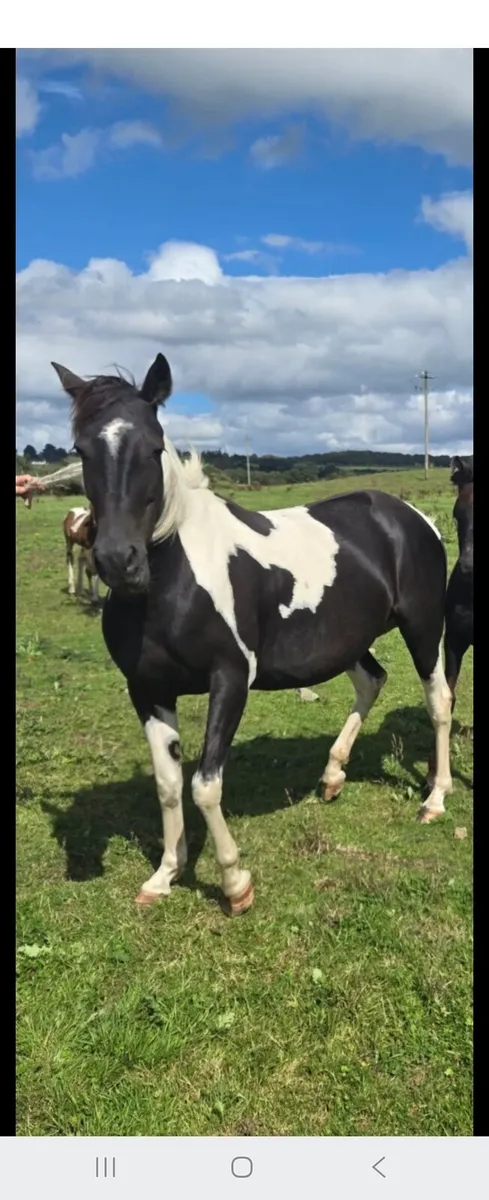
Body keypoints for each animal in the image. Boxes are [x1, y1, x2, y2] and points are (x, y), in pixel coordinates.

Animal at [51, 353, 453, 917]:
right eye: (81, 450)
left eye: (153, 446)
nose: (117, 561)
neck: (172, 582)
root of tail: (413, 518)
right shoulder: (148, 690)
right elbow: (169, 784)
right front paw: (165, 874)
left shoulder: (230, 679)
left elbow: (205, 785)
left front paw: (235, 884)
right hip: (350, 641)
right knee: (372, 680)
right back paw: (333, 776)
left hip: (423, 627)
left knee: (440, 702)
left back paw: (435, 799)